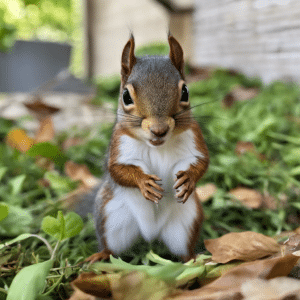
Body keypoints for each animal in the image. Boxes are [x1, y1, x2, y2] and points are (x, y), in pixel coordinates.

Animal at [90, 33, 210, 262]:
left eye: (185, 92)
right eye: (126, 96)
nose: (159, 130)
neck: (157, 146)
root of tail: (151, 234)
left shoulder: (194, 139)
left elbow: (202, 162)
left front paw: (188, 179)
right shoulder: (119, 145)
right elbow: (117, 170)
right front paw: (144, 182)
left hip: (187, 221)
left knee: (184, 250)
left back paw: (194, 261)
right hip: (110, 216)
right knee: (111, 248)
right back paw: (99, 256)